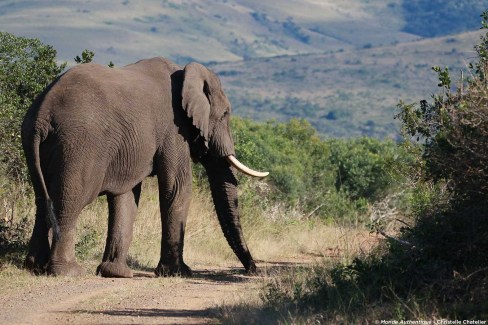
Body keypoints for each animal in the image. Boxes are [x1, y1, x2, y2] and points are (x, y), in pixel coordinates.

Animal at [21, 57, 266, 278]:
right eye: (225, 114)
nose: (253, 270)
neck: (186, 73)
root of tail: (43, 113)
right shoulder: (174, 129)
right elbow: (177, 188)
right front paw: (178, 273)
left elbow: (126, 196)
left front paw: (116, 273)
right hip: (79, 145)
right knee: (71, 200)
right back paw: (69, 272)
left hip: (36, 142)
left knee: (42, 199)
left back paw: (34, 267)